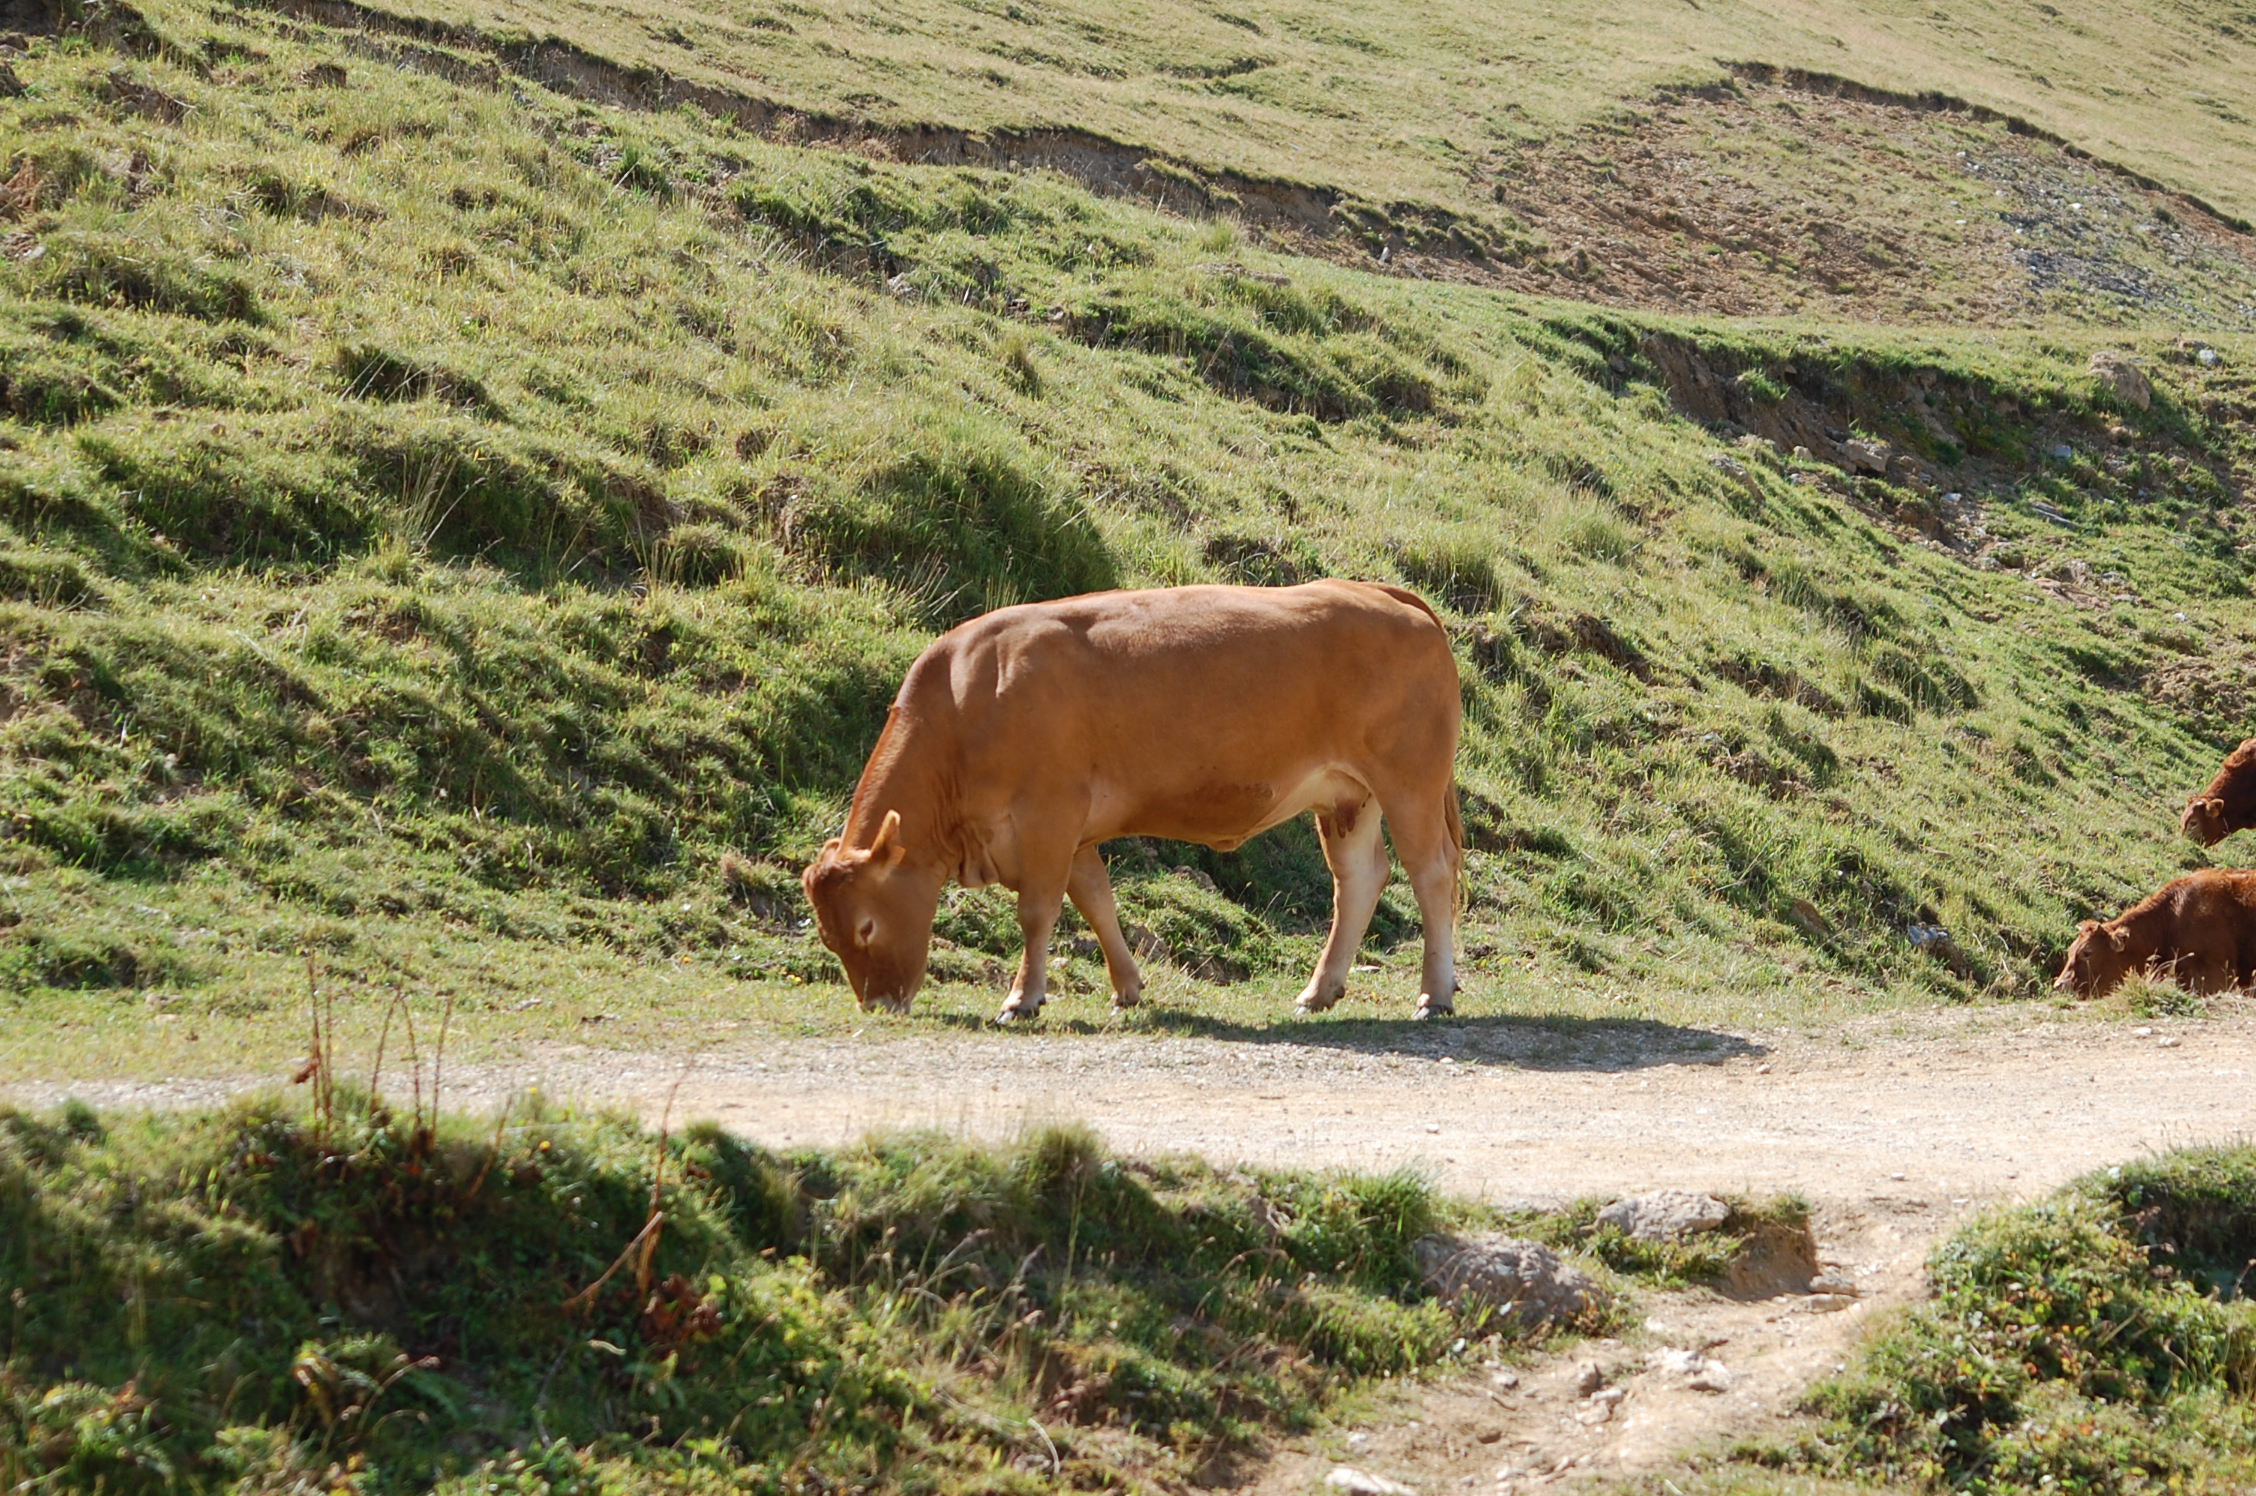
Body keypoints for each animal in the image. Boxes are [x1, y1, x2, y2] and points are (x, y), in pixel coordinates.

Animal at [803, 577, 1470, 1024]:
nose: (878, 1004)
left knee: (1430, 873)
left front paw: (1022, 998)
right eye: (829, 937)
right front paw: (1126, 988)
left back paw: (1434, 995)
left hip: (1409, 781)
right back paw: (1319, 990)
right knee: (1359, 879)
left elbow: (1037, 911)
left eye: (865, 925)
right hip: (1346, 796)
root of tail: (1381, 592)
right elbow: (1095, 900)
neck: (970, 701)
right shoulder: (1072, 833)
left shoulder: (1047, 814)